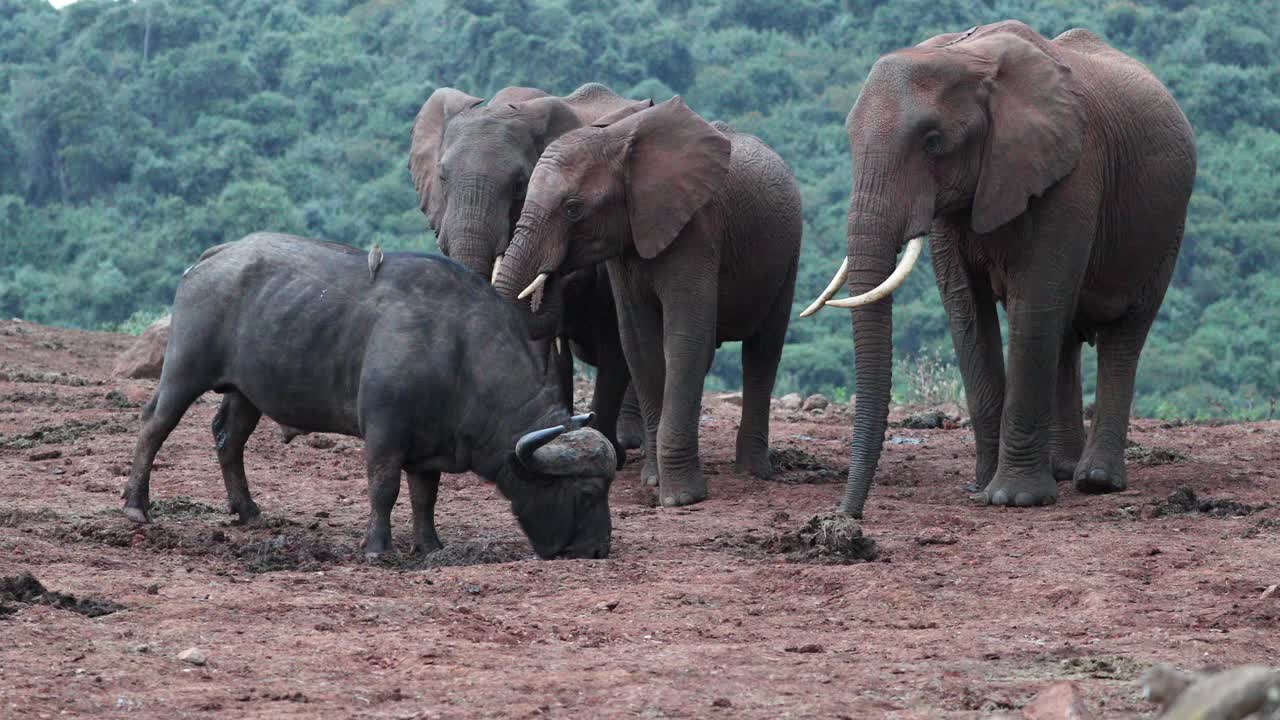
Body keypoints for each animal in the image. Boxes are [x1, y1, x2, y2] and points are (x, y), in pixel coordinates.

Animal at [491, 98, 798, 507]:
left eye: (573, 209)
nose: (552, 272)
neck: (618, 144)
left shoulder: (697, 230)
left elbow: (684, 341)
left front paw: (681, 499)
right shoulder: (626, 245)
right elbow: (639, 345)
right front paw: (653, 482)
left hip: (787, 257)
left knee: (763, 351)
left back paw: (752, 472)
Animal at [803, 20, 1192, 515]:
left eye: (933, 142)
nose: (845, 517)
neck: (966, 57)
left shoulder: (1073, 173)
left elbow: (1035, 301)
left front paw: (1015, 498)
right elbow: (966, 308)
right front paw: (982, 488)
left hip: (1166, 229)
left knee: (1123, 333)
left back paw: (1096, 481)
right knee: (1064, 331)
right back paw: (1062, 470)